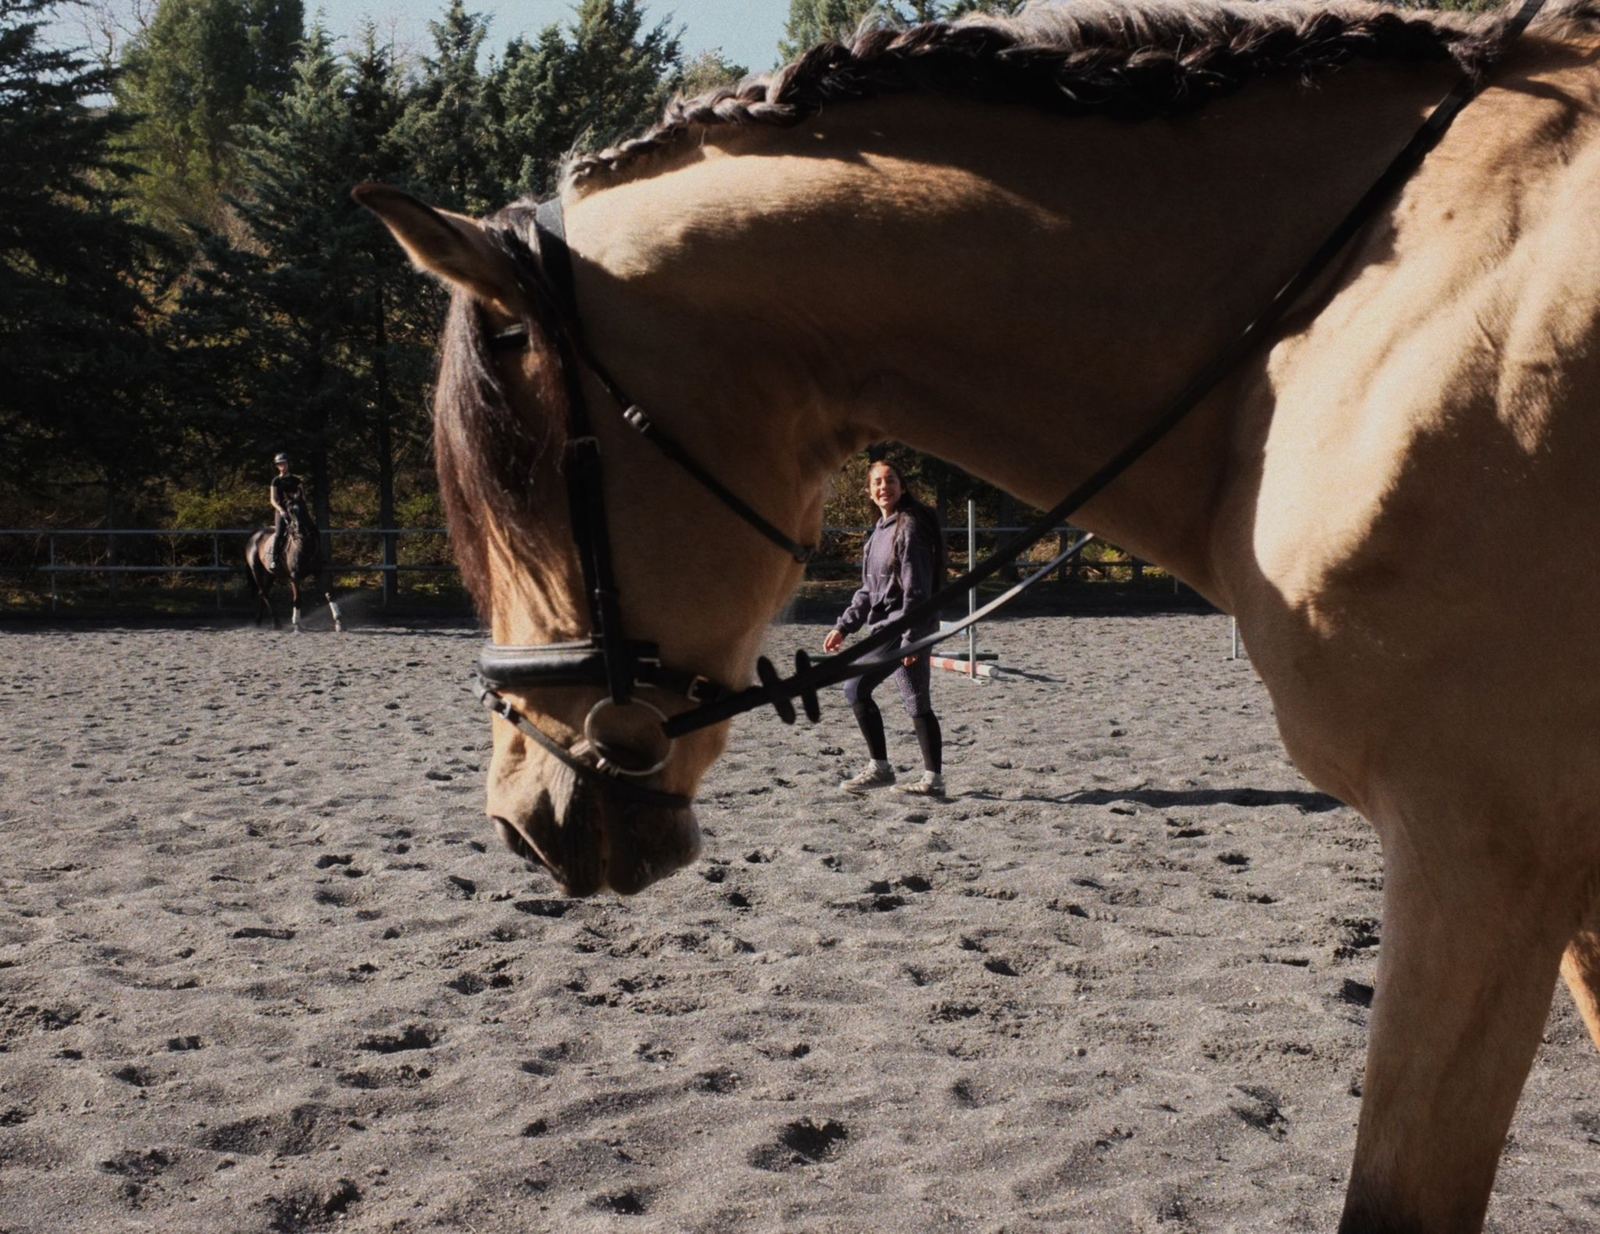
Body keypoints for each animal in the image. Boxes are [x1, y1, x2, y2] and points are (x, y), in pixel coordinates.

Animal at [244, 501, 343, 632]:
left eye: (304, 509)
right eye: (290, 511)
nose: (300, 528)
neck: (305, 546)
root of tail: (254, 535)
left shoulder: (319, 572)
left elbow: (329, 593)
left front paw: (338, 621)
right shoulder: (294, 577)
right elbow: (297, 599)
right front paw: (296, 623)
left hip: (270, 574)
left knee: (262, 593)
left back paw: (259, 621)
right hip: (256, 571)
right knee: (264, 593)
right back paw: (276, 622)